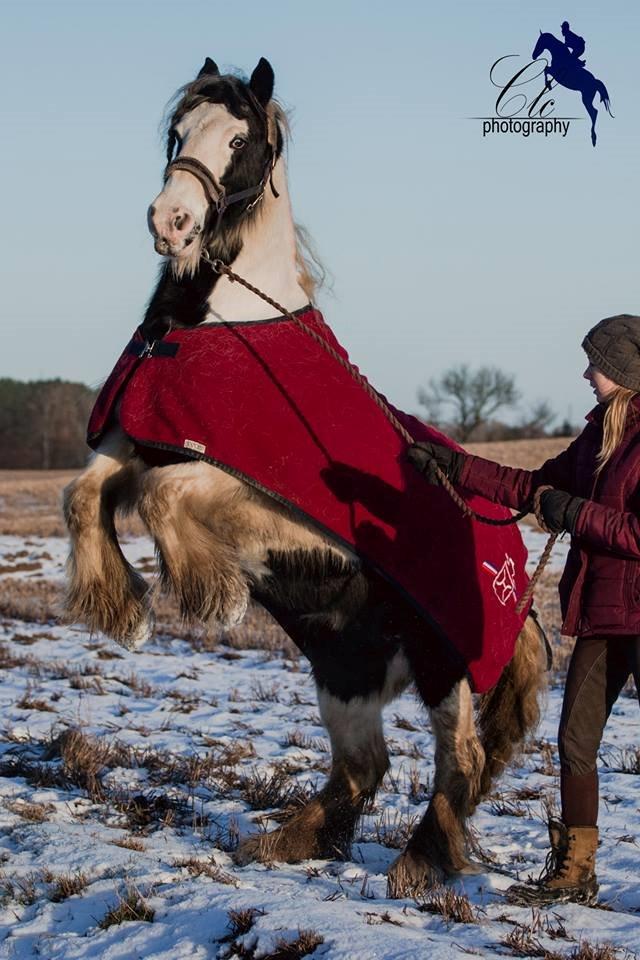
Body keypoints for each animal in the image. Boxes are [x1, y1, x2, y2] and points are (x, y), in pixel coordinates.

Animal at [62, 56, 548, 896]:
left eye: (241, 139)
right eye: (177, 132)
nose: (171, 221)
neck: (216, 321)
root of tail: (512, 567)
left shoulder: (255, 491)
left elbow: (164, 496)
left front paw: (210, 594)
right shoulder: (139, 443)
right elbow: (83, 492)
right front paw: (121, 608)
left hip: (442, 661)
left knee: (460, 757)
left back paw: (420, 864)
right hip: (344, 669)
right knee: (363, 765)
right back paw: (287, 843)